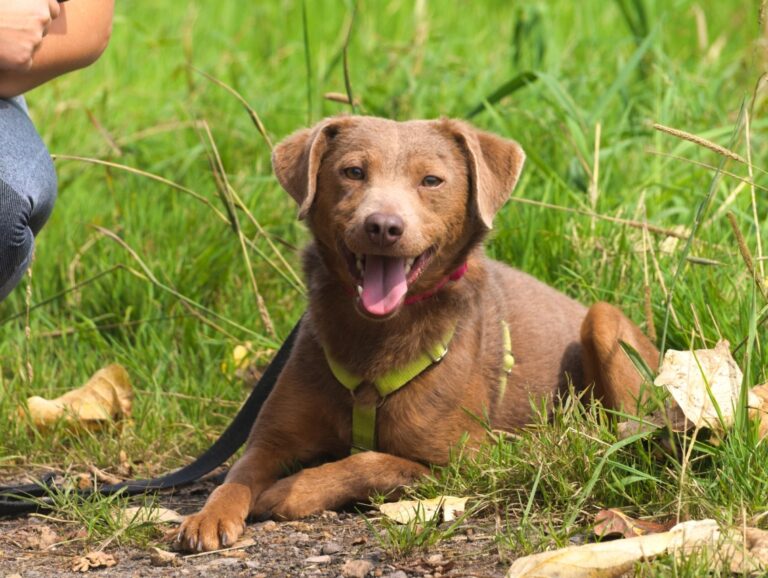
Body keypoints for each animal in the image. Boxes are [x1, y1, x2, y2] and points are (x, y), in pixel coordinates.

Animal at [177, 116, 656, 548]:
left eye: (431, 180)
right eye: (353, 171)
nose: (383, 226)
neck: (375, 337)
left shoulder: (460, 465)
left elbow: (369, 462)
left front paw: (290, 491)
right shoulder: (271, 439)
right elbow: (237, 475)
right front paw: (209, 516)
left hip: (603, 321)